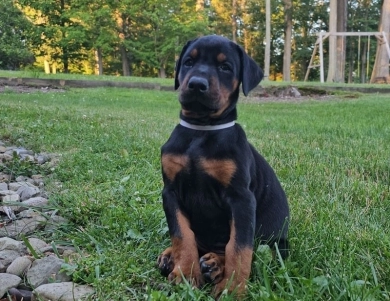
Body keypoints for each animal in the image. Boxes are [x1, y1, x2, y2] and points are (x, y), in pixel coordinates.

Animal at [156, 35, 290, 296]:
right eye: (188, 62)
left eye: (225, 67)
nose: (197, 84)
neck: (201, 131)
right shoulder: (171, 192)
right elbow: (182, 235)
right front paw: (186, 274)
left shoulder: (242, 199)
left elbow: (239, 247)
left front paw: (232, 288)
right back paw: (171, 256)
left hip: (277, 244)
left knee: (255, 251)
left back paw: (215, 264)